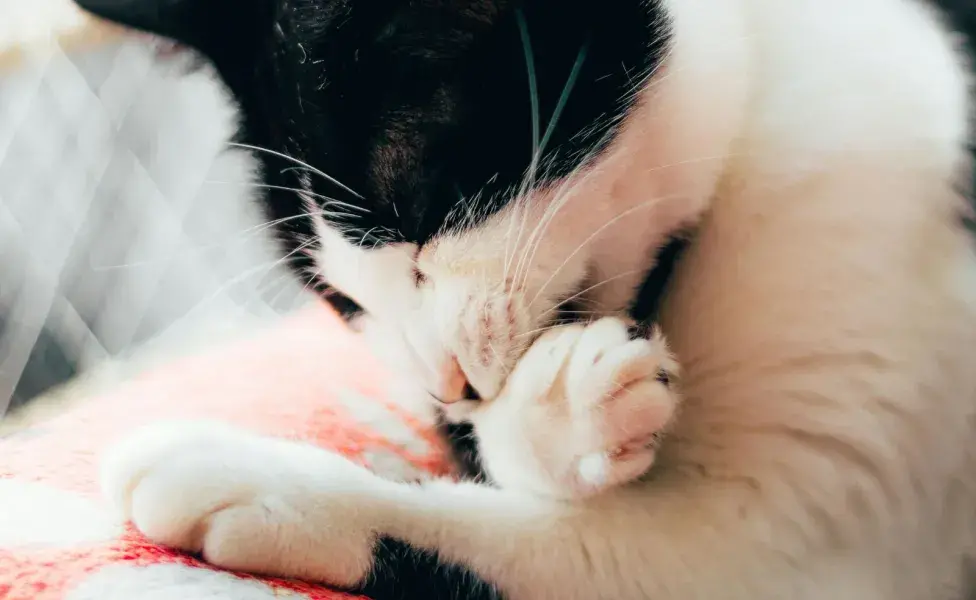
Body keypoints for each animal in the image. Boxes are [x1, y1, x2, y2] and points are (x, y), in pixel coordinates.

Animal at [70, 0, 976, 596]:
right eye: (340, 299)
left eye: (419, 208)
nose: (443, 385)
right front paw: (565, 415)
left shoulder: (797, 540)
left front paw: (240, 472)